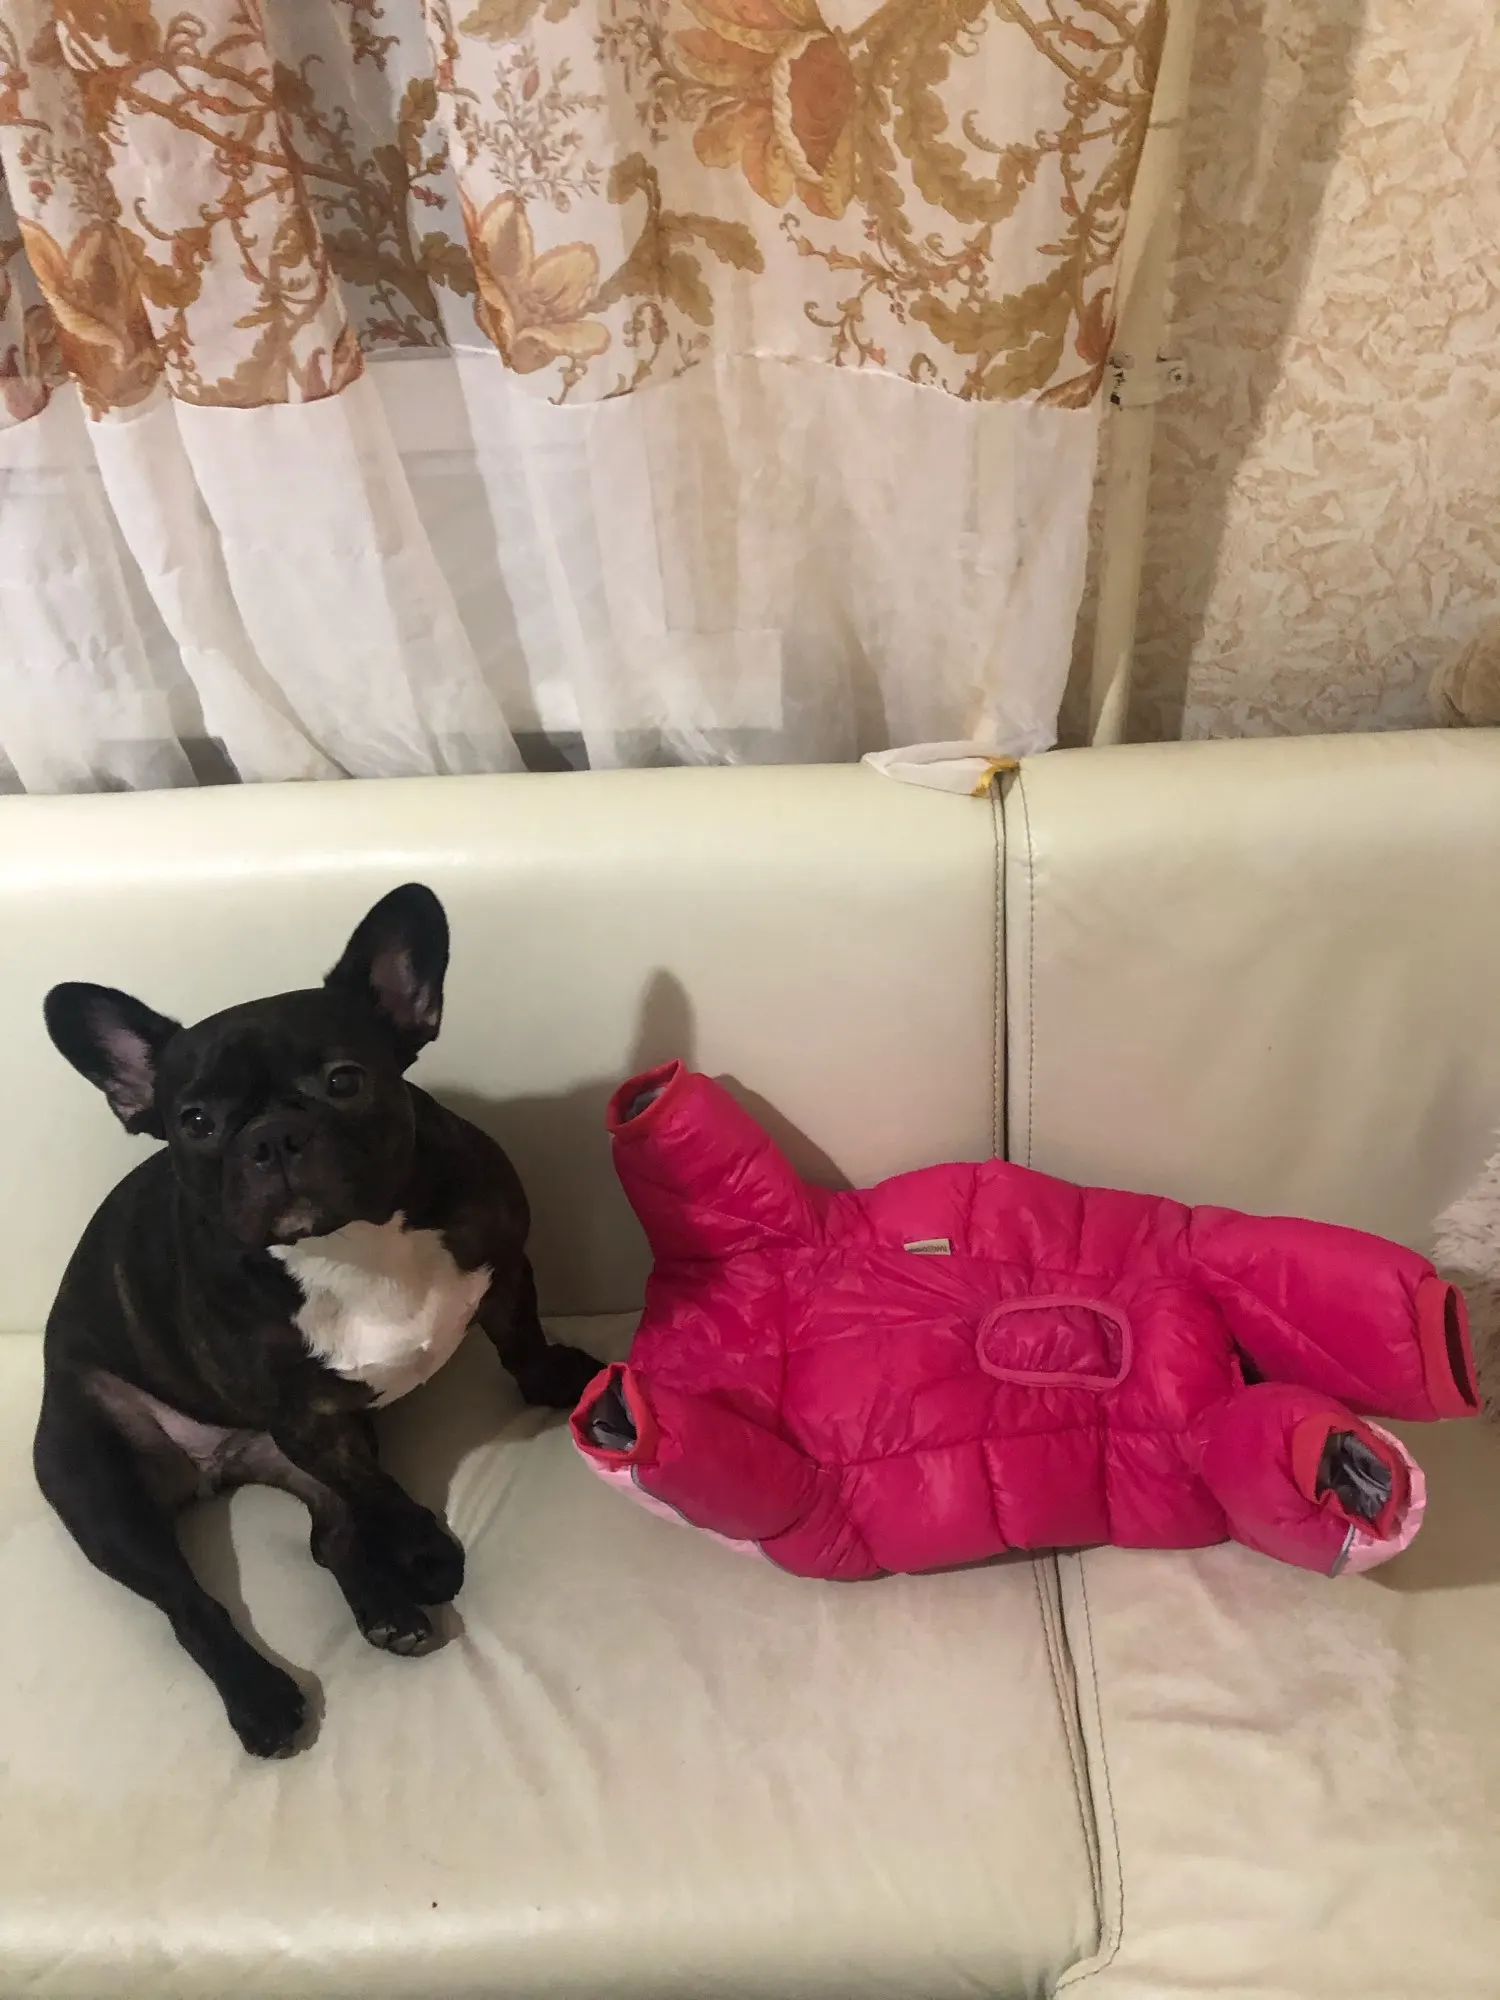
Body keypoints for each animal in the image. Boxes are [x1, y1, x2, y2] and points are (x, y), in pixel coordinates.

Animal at [34, 883, 601, 1757]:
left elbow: (519, 1338)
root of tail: (216, 1466)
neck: (352, 1243)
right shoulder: (311, 1418)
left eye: (343, 1080)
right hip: (95, 1481)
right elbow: (377, 1492)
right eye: (195, 1122)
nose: (271, 1137)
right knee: (186, 1601)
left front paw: (557, 1379)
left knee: (328, 1537)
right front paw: (425, 1548)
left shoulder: (504, 1262)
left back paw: (388, 1613)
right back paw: (262, 1696)